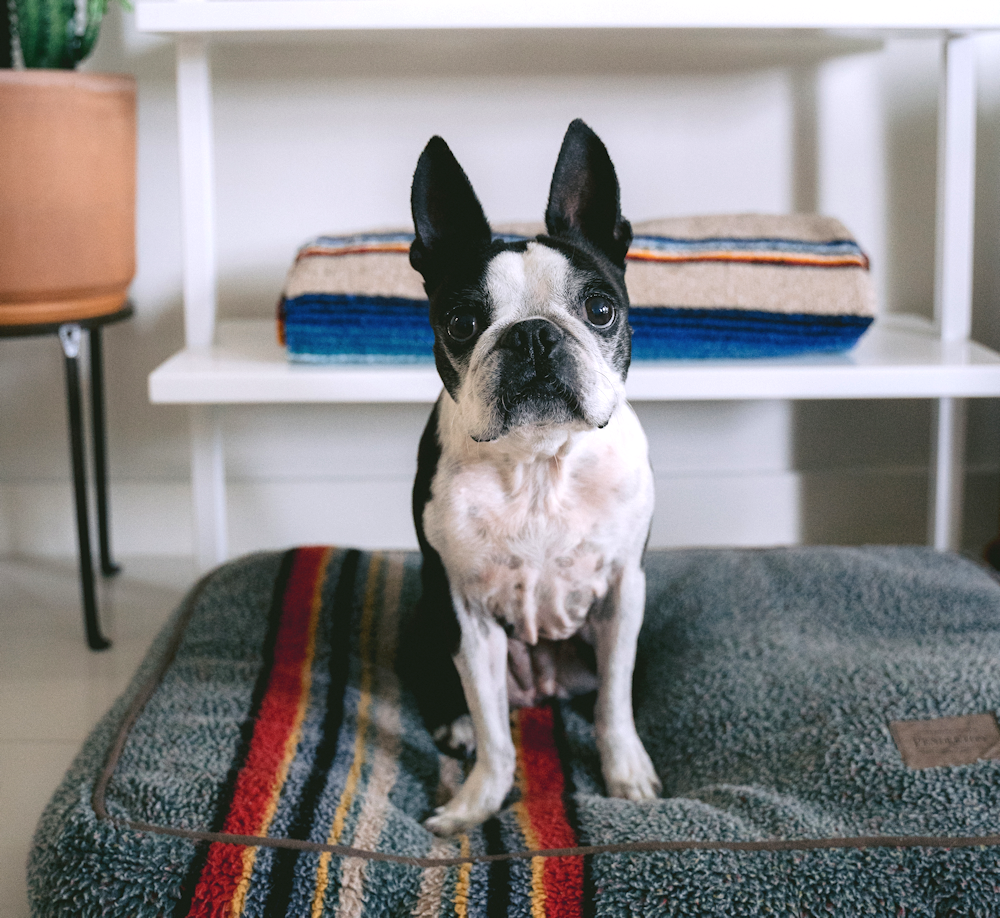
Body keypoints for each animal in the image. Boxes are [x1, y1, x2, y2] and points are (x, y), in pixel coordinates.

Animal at [402, 118, 660, 836]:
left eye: (599, 310)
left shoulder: (623, 591)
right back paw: (457, 727)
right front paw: (475, 804)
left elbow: (613, 703)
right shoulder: (464, 611)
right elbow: (496, 733)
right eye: (462, 322)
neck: (539, 460)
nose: (534, 336)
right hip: (426, 617)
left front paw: (626, 775)